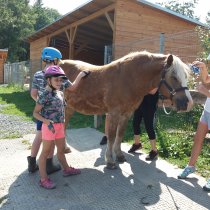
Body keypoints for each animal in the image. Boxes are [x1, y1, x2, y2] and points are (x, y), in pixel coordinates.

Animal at [60, 50, 193, 169]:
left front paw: (119, 156)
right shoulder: (114, 114)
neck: (128, 79)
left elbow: (120, 135)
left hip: (69, 108)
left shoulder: (126, 114)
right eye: (174, 77)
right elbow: (111, 136)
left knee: (64, 126)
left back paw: (65, 148)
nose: (188, 103)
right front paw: (110, 161)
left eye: (185, 76)